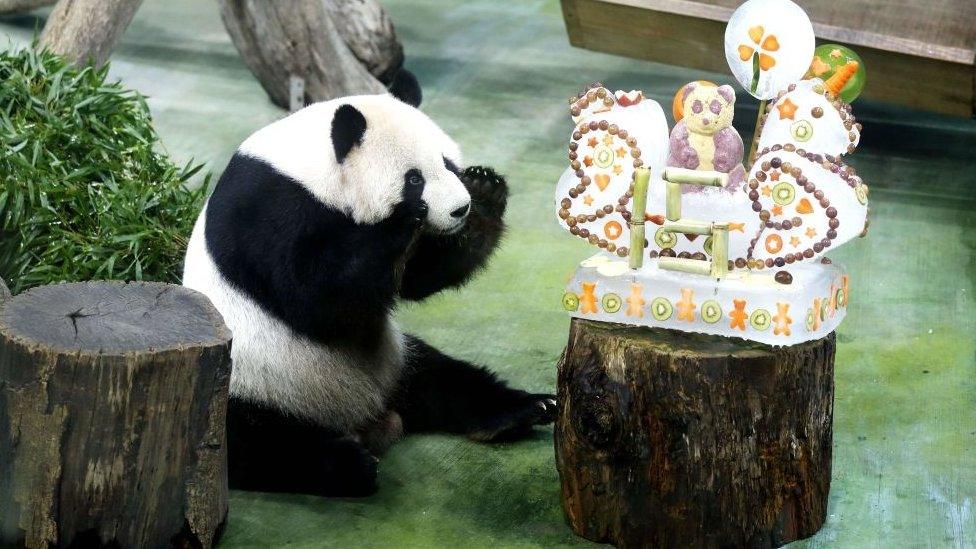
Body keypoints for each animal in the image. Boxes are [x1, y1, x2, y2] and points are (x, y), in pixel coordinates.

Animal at [179, 91, 552, 496]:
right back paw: (348, 466)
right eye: (414, 178)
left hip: (397, 360)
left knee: (446, 378)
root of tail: (372, 420)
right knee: (257, 444)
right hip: (248, 384)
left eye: (448, 164)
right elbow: (315, 297)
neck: (312, 169)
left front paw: (484, 192)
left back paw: (521, 411)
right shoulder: (267, 210)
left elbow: (413, 280)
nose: (459, 209)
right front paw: (404, 217)